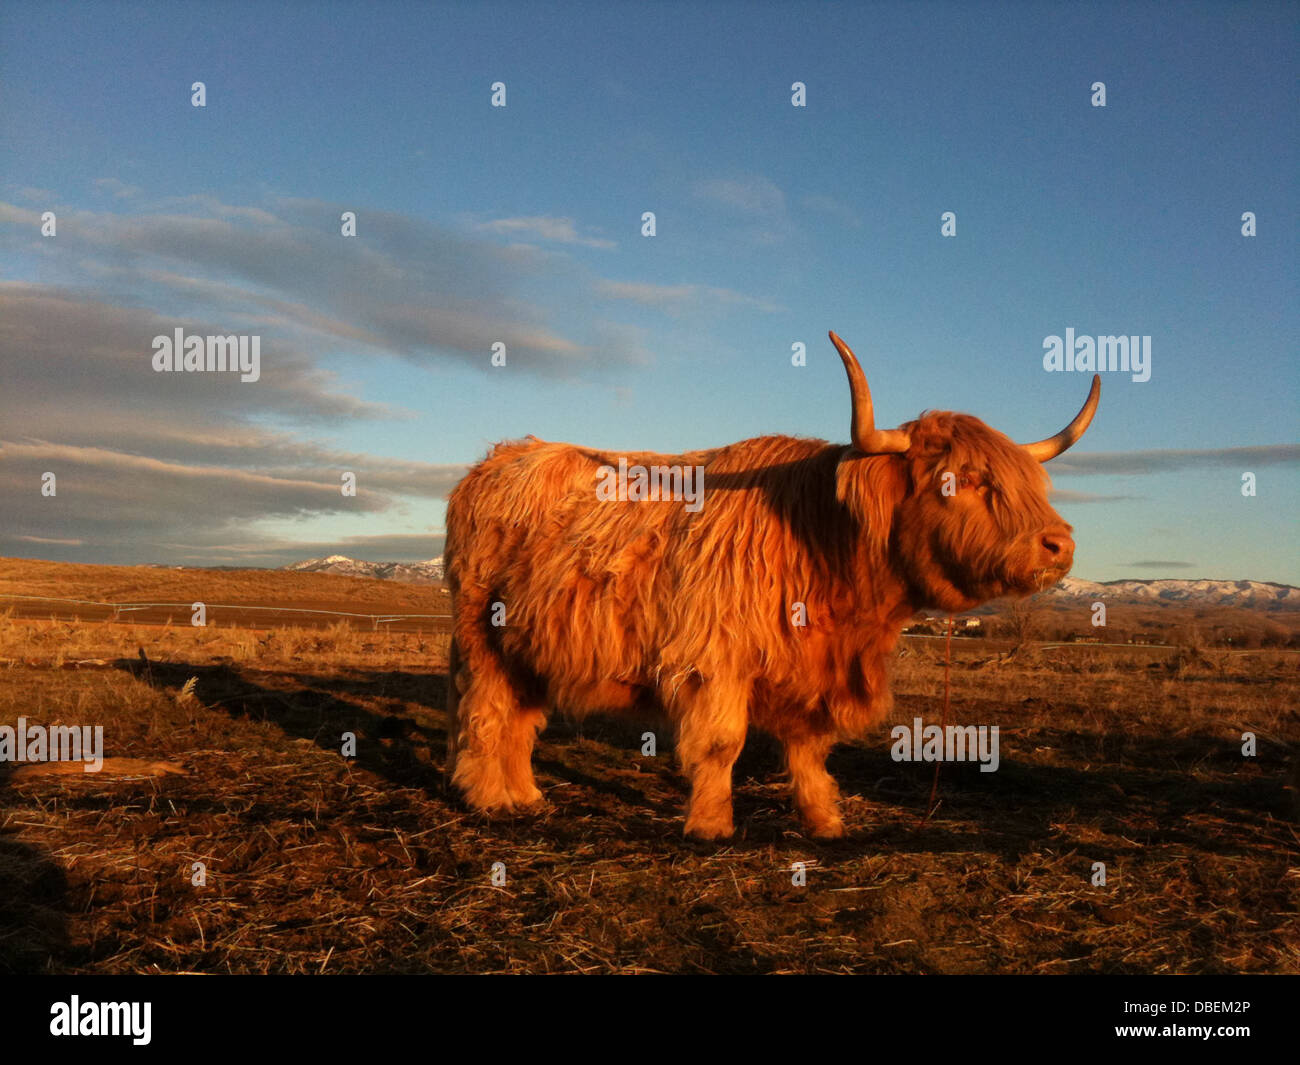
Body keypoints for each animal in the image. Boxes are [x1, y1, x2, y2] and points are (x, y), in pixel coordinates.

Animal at [444, 332, 1099, 839]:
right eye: (959, 479)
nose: (1059, 544)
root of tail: (497, 460)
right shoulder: (714, 658)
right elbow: (722, 743)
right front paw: (712, 827)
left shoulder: (817, 670)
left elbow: (809, 747)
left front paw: (824, 821)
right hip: (483, 635)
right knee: (486, 711)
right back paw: (490, 798)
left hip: (528, 645)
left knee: (521, 716)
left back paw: (526, 794)